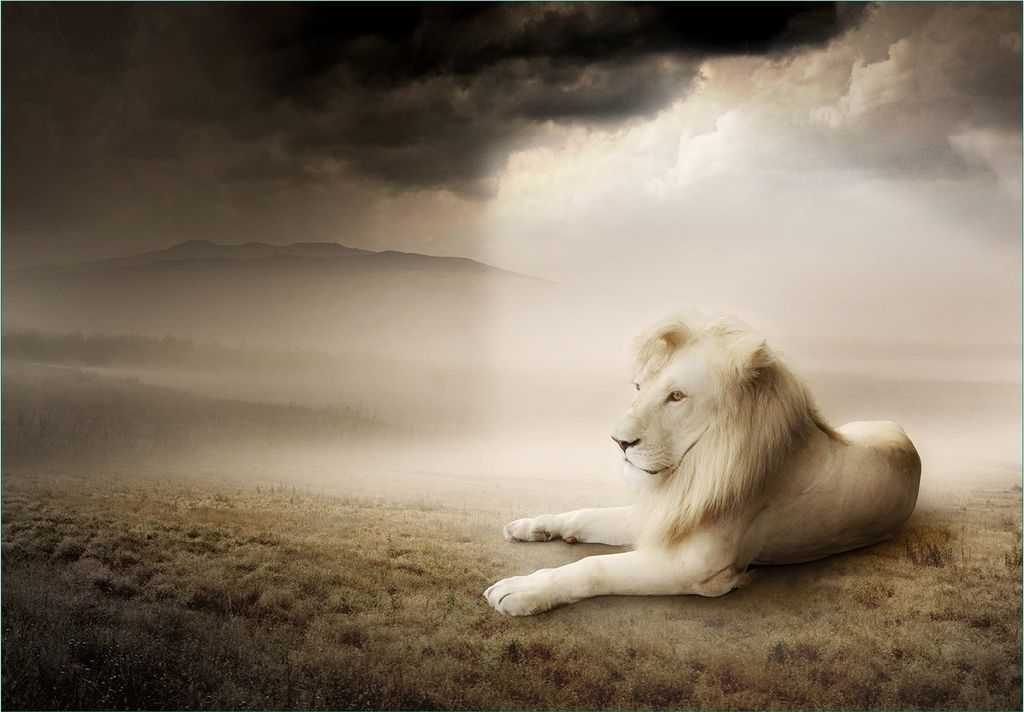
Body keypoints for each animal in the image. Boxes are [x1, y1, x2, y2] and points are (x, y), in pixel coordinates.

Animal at [484, 313, 921, 616]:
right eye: (639, 387)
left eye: (677, 396)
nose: (618, 442)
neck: (691, 471)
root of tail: (903, 432)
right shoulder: (667, 515)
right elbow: (587, 514)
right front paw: (534, 526)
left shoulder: (698, 568)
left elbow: (595, 567)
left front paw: (523, 590)